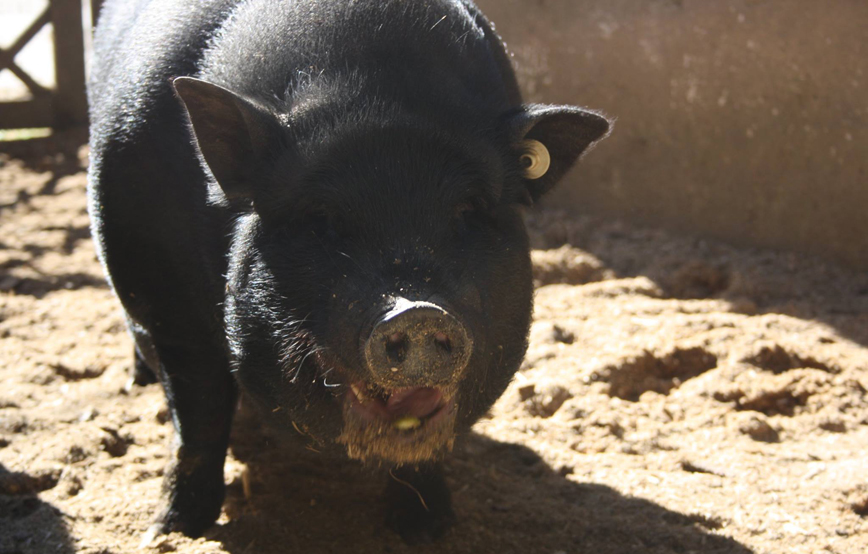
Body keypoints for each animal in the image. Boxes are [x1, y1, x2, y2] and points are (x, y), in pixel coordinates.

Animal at [87, 0, 609, 543]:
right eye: (322, 218)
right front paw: (171, 532)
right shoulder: (165, 305)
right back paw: (137, 384)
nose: (418, 311)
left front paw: (429, 531)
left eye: (466, 211)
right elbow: (199, 417)